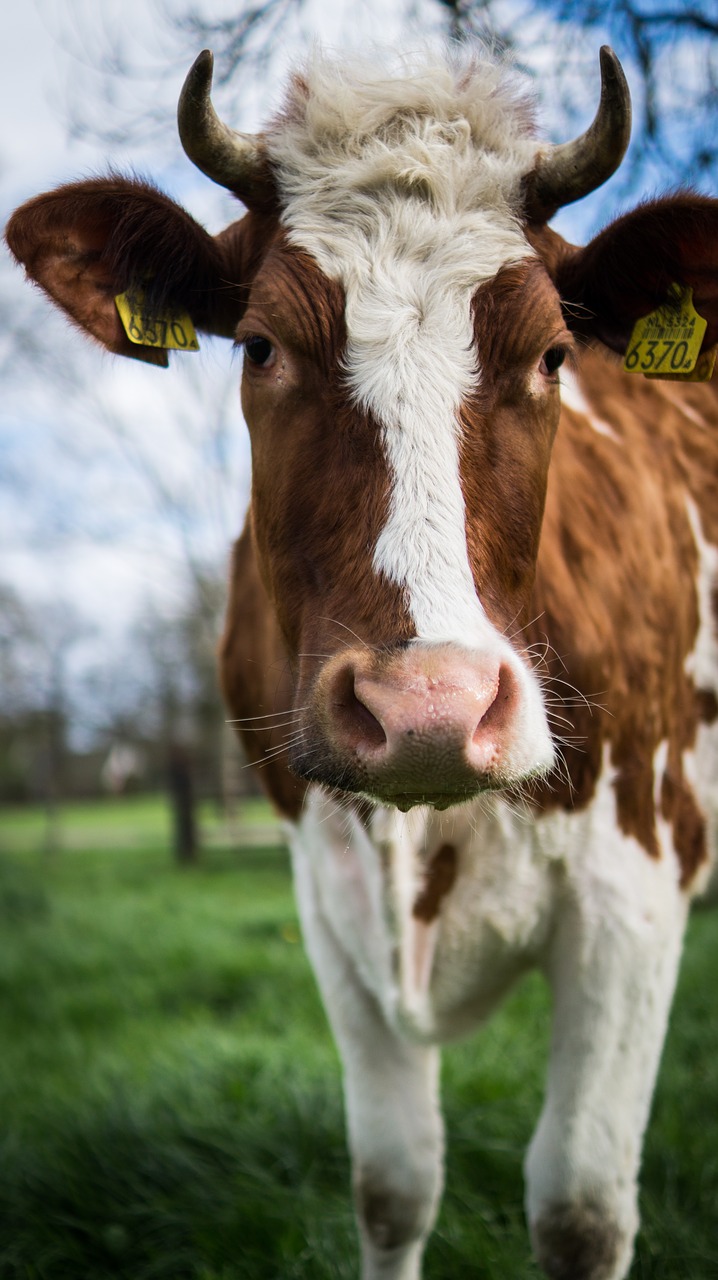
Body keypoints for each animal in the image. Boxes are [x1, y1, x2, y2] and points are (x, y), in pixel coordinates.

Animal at [8, 42, 716, 1280]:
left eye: (553, 354)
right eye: (258, 345)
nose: (429, 706)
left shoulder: (637, 886)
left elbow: (580, 1207)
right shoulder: (326, 891)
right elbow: (392, 1182)